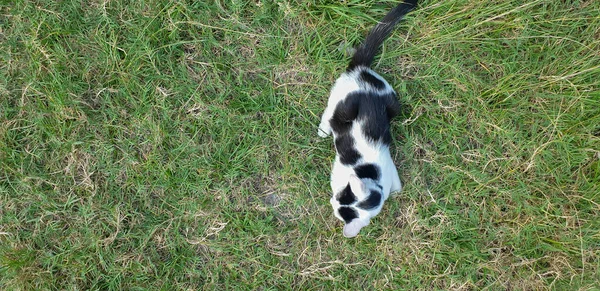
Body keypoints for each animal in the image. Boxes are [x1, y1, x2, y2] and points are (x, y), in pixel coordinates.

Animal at [318, 0, 418, 240]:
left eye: (339, 203)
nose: (331, 200)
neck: (368, 176)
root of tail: (362, 70)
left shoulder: (390, 174)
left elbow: (396, 188)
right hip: (347, 104)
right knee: (330, 111)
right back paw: (323, 129)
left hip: (391, 103)